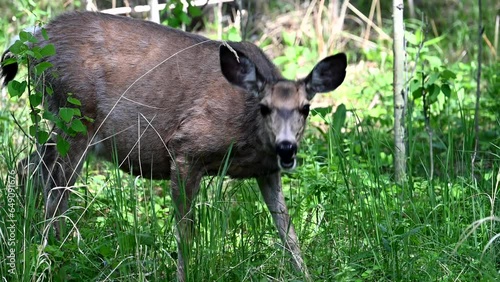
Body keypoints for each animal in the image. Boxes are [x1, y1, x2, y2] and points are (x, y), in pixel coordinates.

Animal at [2, 11, 348, 282]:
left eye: (306, 108)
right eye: (265, 108)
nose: (287, 148)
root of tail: (31, 40)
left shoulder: (267, 171)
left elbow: (287, 229)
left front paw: (305, 275)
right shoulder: (185, 149)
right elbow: (185, 232)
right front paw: (184, 275)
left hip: (63, 124)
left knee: (30, 166)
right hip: (74, 116)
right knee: (55, 188)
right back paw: (52, 259)